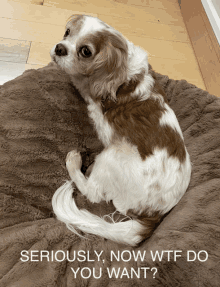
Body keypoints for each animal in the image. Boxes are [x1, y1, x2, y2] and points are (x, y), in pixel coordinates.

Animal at [50, 14, 192, 246]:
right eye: (67, 32)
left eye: (85, 51)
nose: (59, 48)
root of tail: (154, 216)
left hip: (113, 156)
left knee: (93, 193)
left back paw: (74, 162)